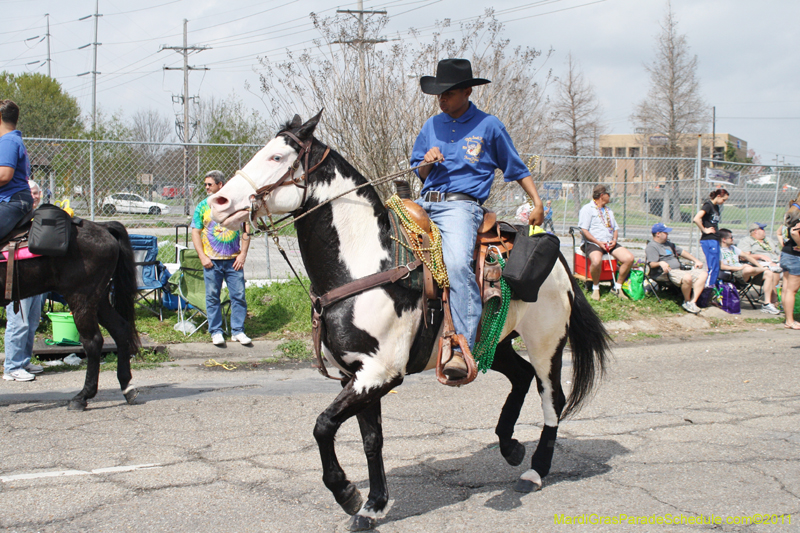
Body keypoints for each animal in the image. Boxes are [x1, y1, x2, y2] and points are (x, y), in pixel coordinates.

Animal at [209, 112, 608, 528]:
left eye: (276, 156)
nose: (218, 202)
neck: (366, 266)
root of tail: (557, 255)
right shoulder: (357, 375)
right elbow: (370, 439)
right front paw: (372, 505)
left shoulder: (382, 373)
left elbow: (323, 426)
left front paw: (347, 493)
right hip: (492, 343)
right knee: (521, 375)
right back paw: (509, 446)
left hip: (547, 342)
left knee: (552, 397)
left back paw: (535, 470)